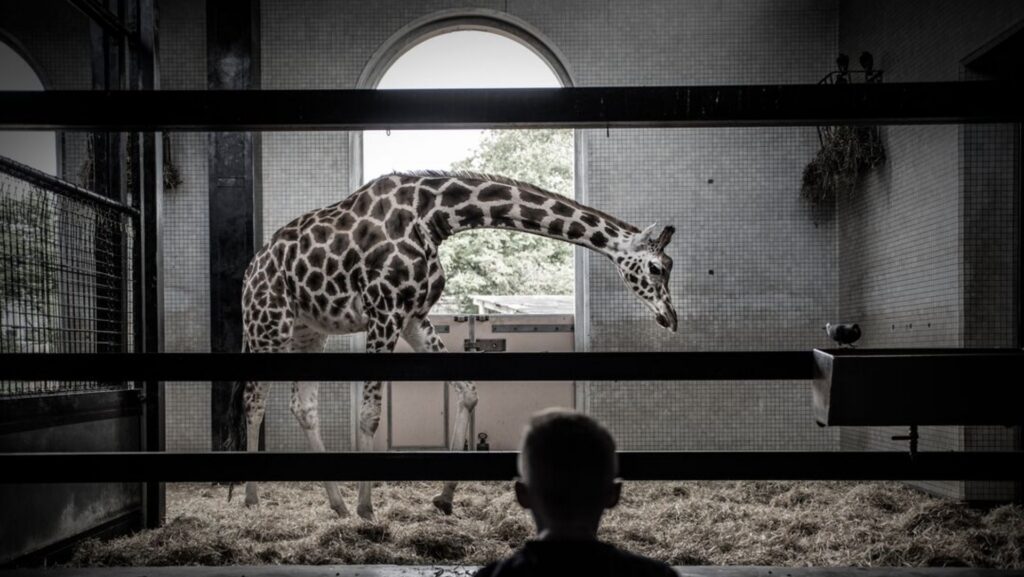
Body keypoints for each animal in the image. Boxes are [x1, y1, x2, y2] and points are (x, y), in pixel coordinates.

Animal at [227, 170, 677, 520]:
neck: (434, 216)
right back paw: (251, 498)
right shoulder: (384, 311)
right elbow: (371, 414)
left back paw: (334, 504)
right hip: (268, 324)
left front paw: (444, 497)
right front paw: (367, 508)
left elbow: (469, 391)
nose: (670, 318)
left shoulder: (413, 317)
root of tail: (250, 272)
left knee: (302, 408)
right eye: (657, 267)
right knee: (254, 399)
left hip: (309, 331)